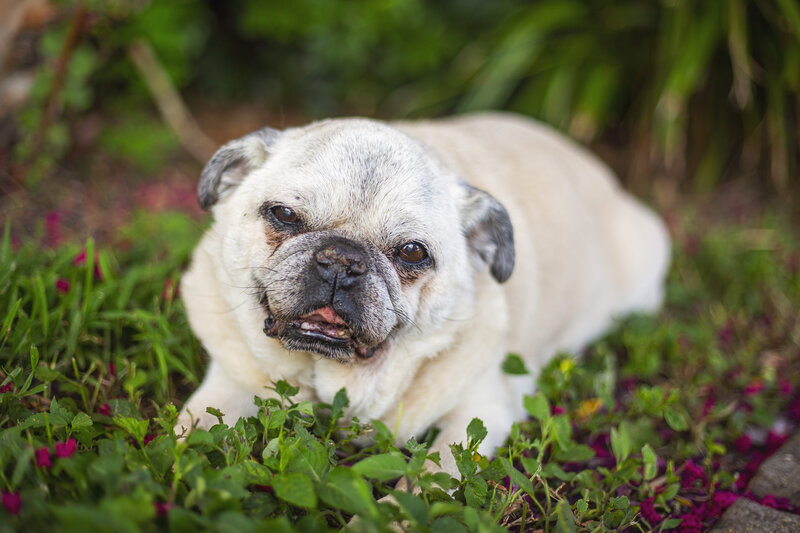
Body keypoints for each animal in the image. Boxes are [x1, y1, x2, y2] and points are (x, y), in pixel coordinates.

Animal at [177, 111, 668, 474]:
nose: (342, 259)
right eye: (283, 214)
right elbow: (187, 432)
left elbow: (435, 476)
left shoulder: (480, 411)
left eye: (412, 252)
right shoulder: (229, 384)